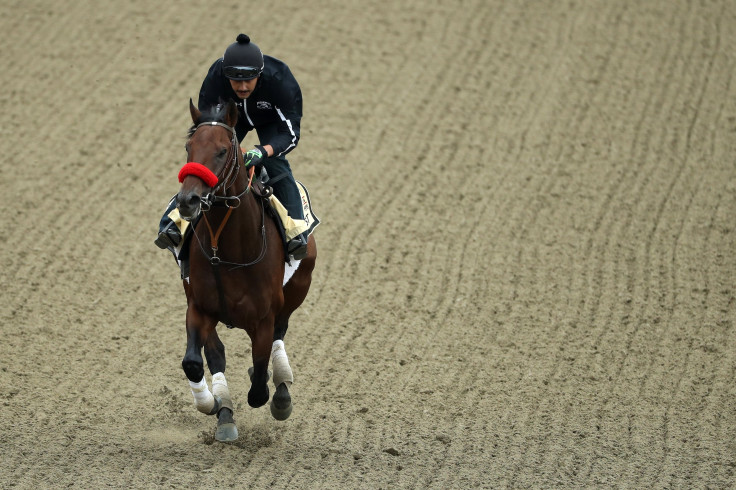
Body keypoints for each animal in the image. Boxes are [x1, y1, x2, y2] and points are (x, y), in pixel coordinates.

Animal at [179, 97, 320, 442]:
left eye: (221, 151)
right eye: (189, 147)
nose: (188, 200)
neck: (226, 251)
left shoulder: (264, 317)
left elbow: (258, 385)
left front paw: (273, 389)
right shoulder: (199, 307)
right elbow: (194, 362)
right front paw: (212, 404)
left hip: (298, 288)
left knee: (280, 334)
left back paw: (281, 387)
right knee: (216, 354)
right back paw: (225, 416)